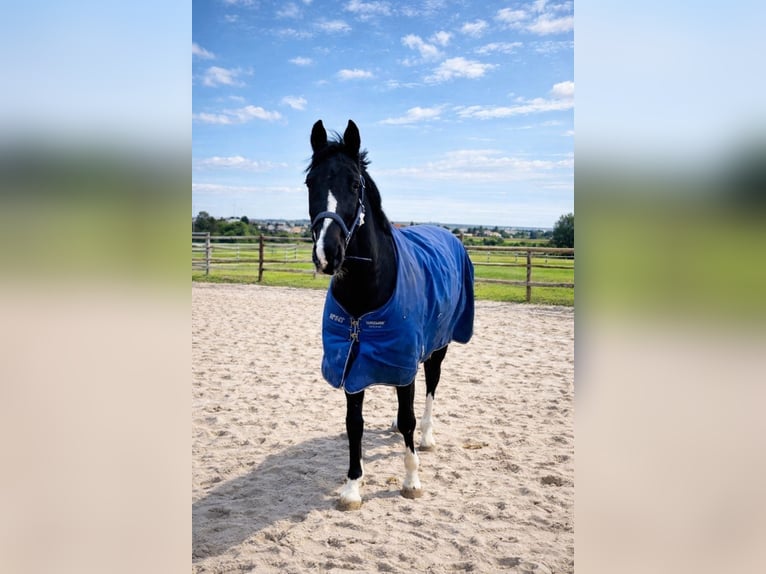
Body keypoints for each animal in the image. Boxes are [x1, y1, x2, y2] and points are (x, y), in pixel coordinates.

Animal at [305, 119, 474, 510]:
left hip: (437, 347)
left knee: (430, 387)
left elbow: (408, 415)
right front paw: (352, 486)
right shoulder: (351, 362)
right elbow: (354, 422)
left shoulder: (402, 357)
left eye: (355, 184)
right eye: (309, 183)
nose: (327, 255)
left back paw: (427, 436)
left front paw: (412, 481)